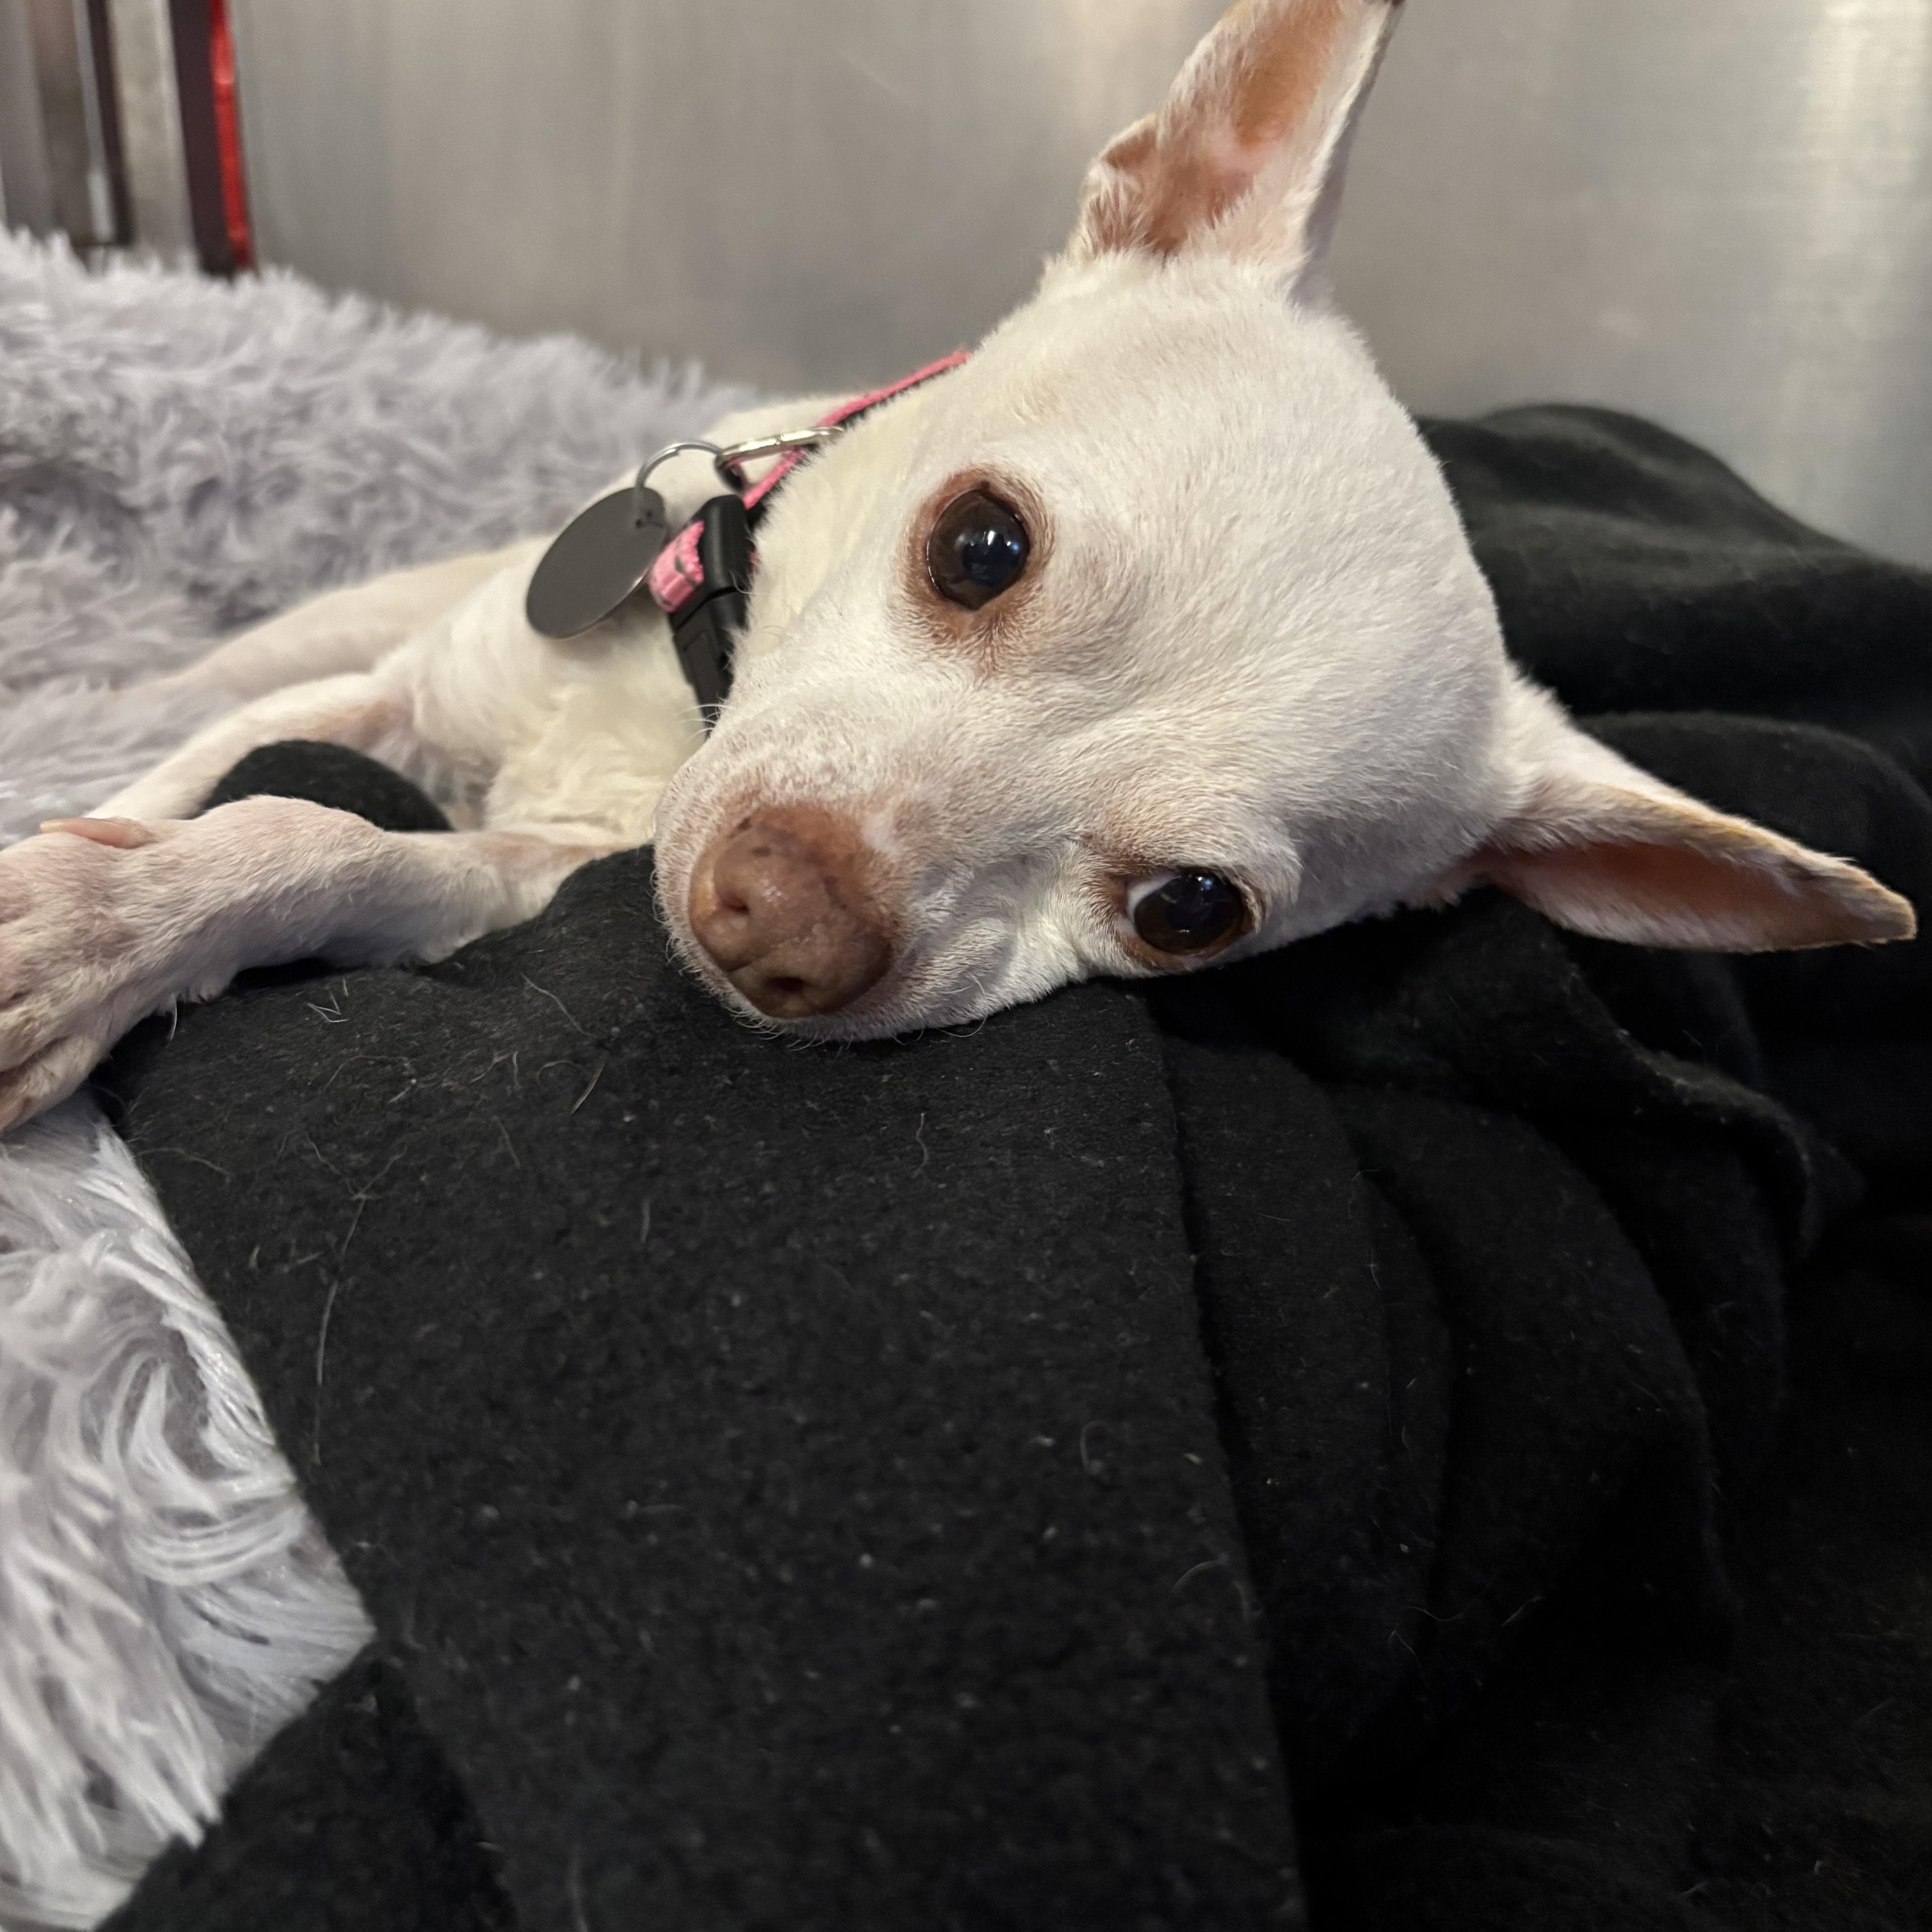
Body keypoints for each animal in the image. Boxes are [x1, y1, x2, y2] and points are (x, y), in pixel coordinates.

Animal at [0, 0, 1913, 1134]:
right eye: (979, 545)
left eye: (1187, 913)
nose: (784, 924)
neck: (677, 702)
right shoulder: (402, 695)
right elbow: (199, 778)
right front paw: (90, 893)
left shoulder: (528, 883)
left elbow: (317, 839)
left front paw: (118, 920)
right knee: (239, 669)